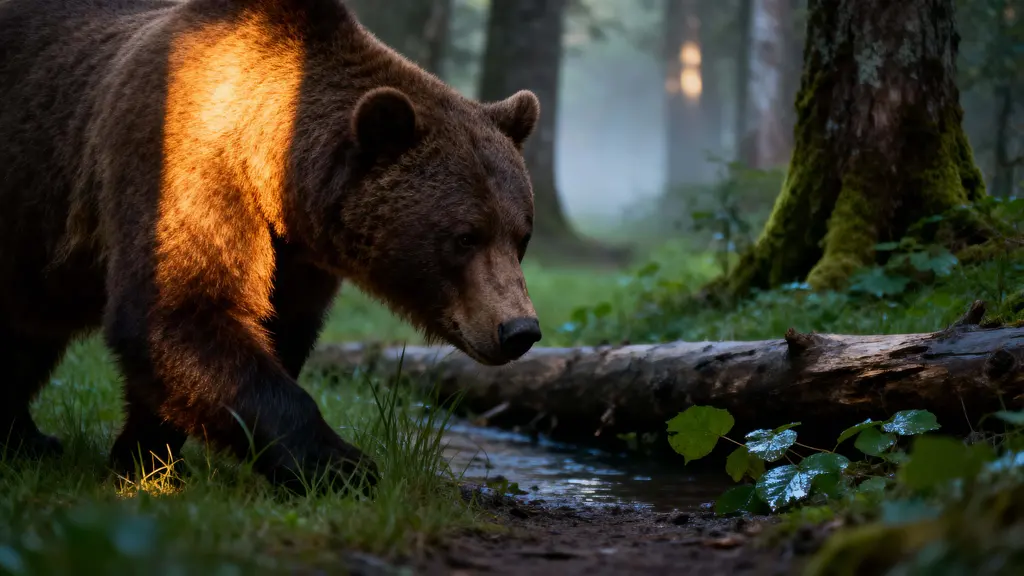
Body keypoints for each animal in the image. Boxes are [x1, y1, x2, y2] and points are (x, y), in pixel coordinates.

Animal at [0, 0, 543, 492]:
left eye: (521, 237)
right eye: (464, 236)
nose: (519, 329)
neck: (274, 173)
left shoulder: (299, 254)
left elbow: (277, 329)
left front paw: (145, 457)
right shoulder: (187, 169)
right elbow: (182, 310)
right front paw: (345, 467)